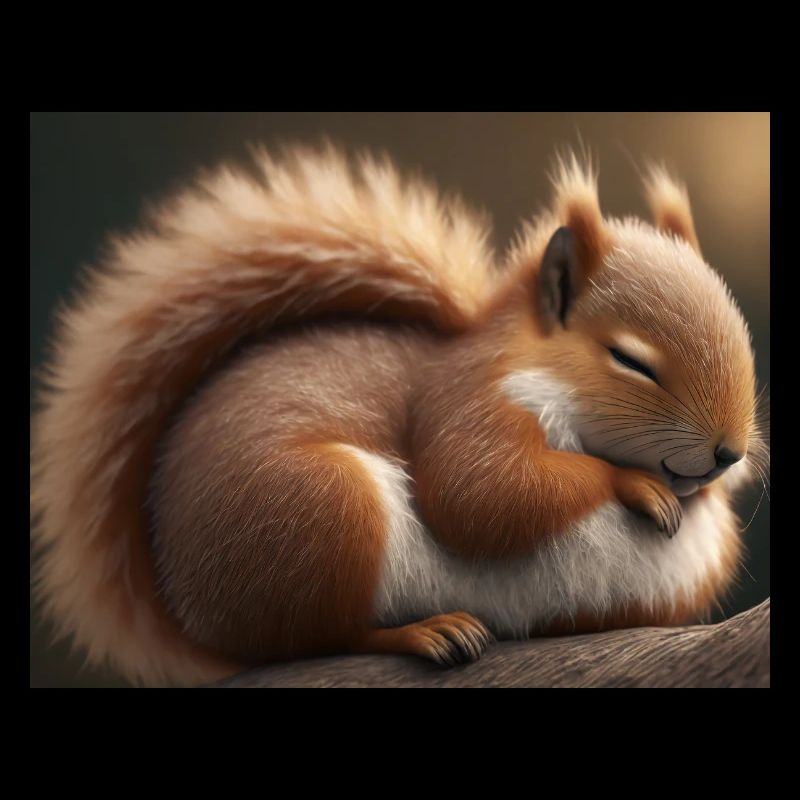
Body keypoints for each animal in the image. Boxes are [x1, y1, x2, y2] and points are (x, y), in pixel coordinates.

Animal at [31, 144, 768, 686]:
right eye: (629, 360)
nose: (728, 453)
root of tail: (187, 600)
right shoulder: (464, 402)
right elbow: (480, 493)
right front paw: (633, 484)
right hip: (321, 511)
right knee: (316, 638)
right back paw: (427, 631)